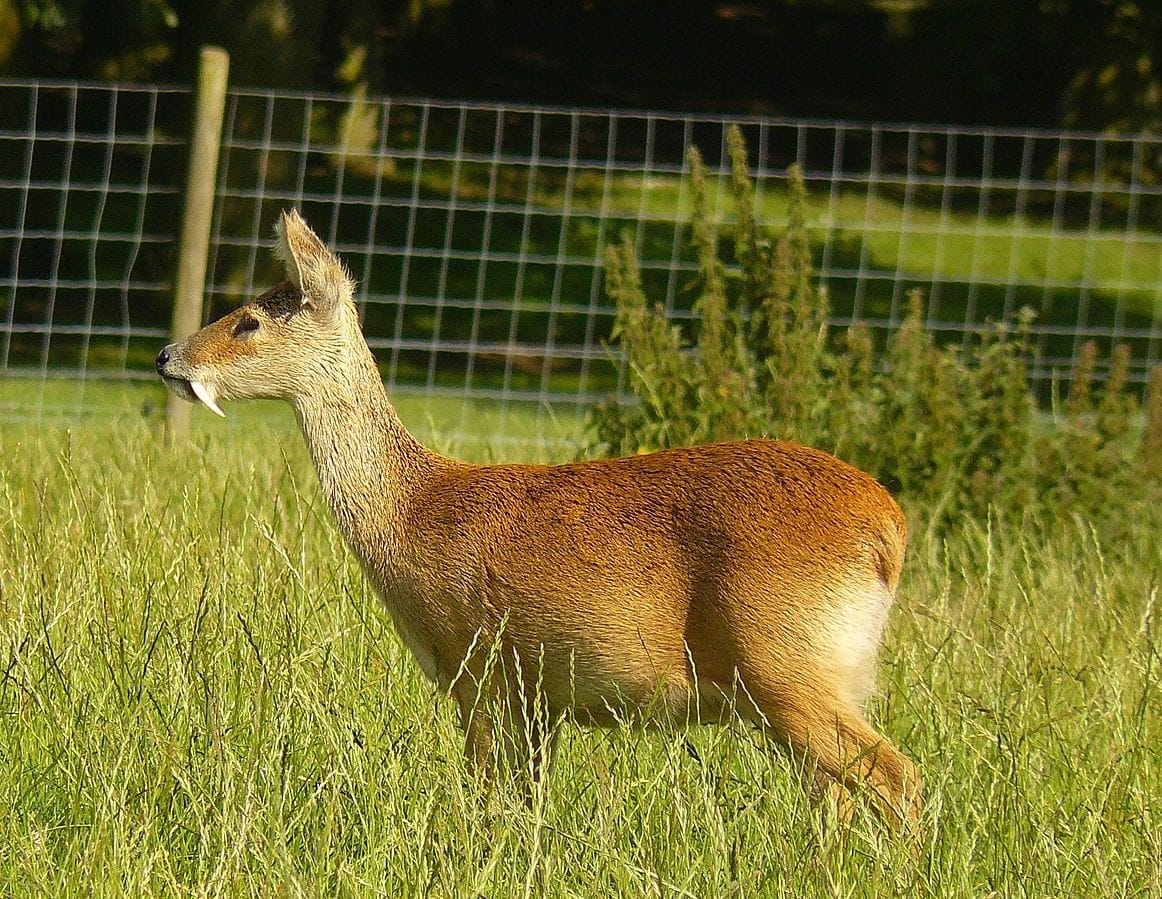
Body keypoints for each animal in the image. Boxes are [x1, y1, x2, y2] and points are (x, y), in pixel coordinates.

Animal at [156, 209, 922, 831]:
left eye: (249, 320)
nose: (167, 356)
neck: (412, 511)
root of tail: (887, 527)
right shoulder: (536, 696)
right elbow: (529, 801)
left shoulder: (478, 666)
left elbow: (486, 795)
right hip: (816, 677)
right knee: (838, 793)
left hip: (782, 660)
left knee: (899, 778)